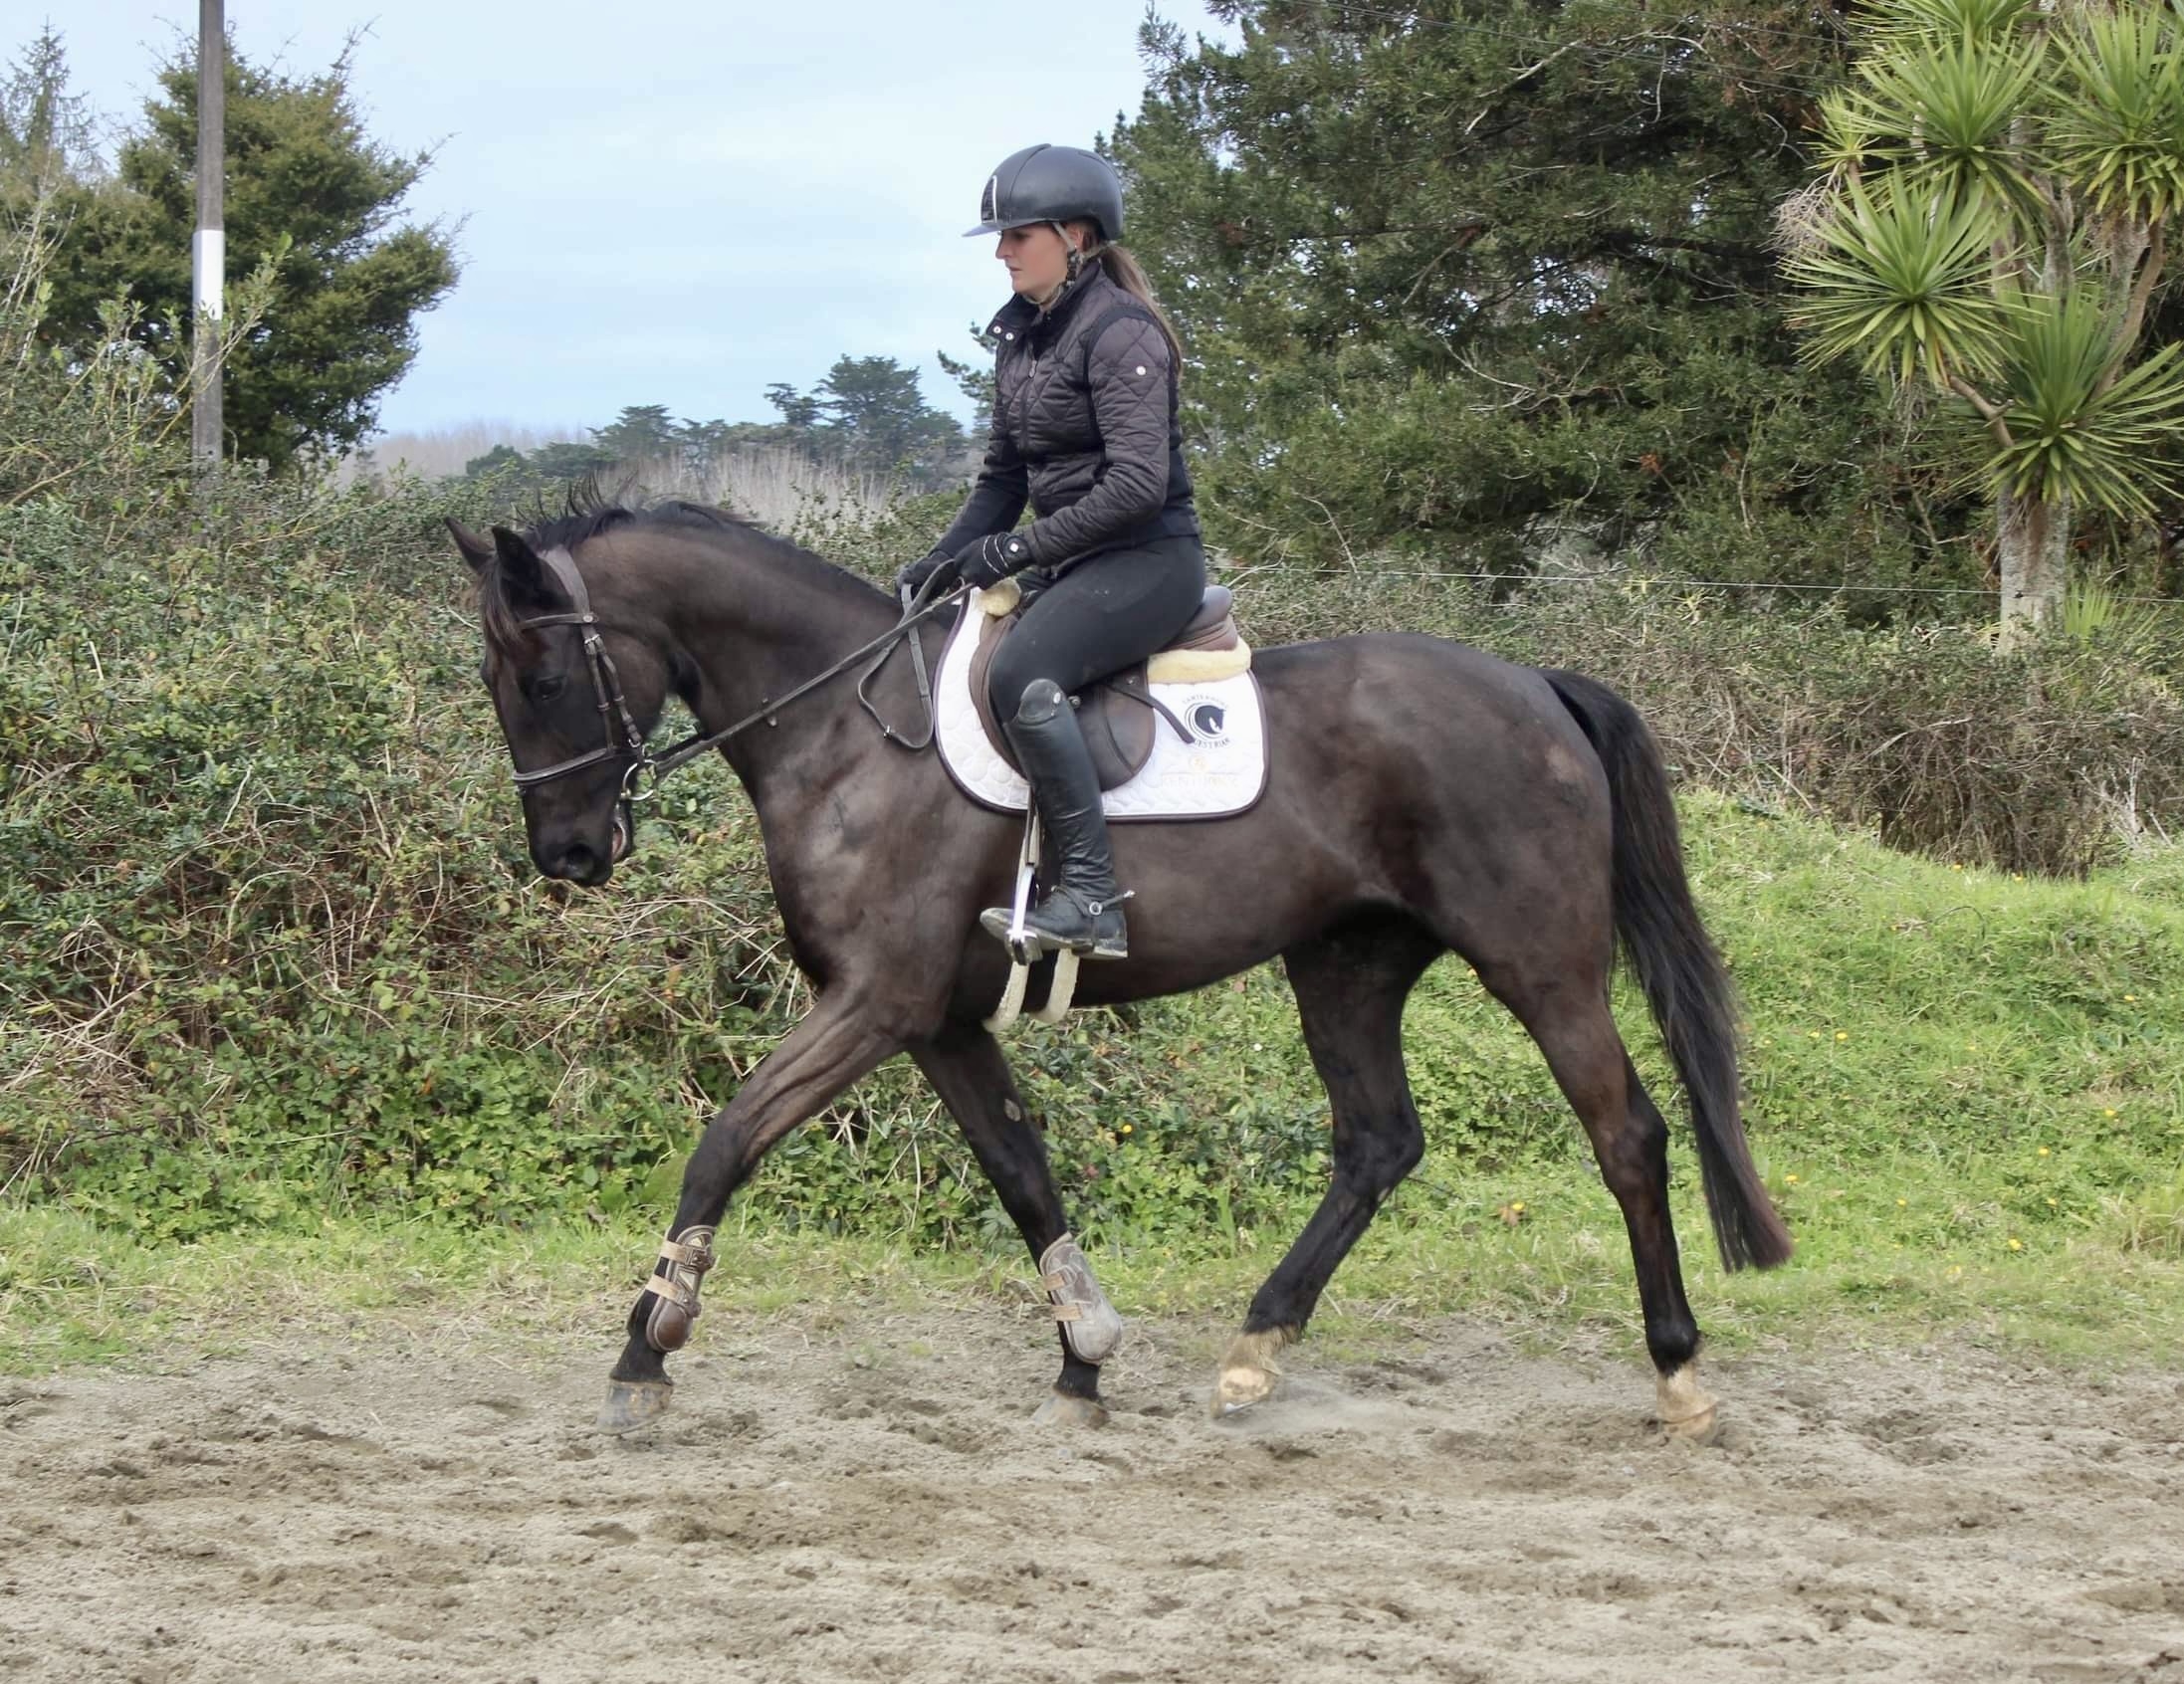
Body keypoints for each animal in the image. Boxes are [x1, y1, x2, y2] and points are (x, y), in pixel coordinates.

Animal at [445, 496, 1792, 1440]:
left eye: (546, 677)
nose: (568, 857)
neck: (848, 736)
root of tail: (1536, 688)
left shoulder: (871, 1004)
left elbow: (725, 1142)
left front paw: (647, 1349)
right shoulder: (938, 1020)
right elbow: (1022, 1172)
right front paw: (1082, 1358)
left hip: (1536, 961)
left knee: (1627, 1136)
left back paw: (1678, 1372)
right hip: (1344, 964)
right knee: (1377, 1143)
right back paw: (1256, 1350)